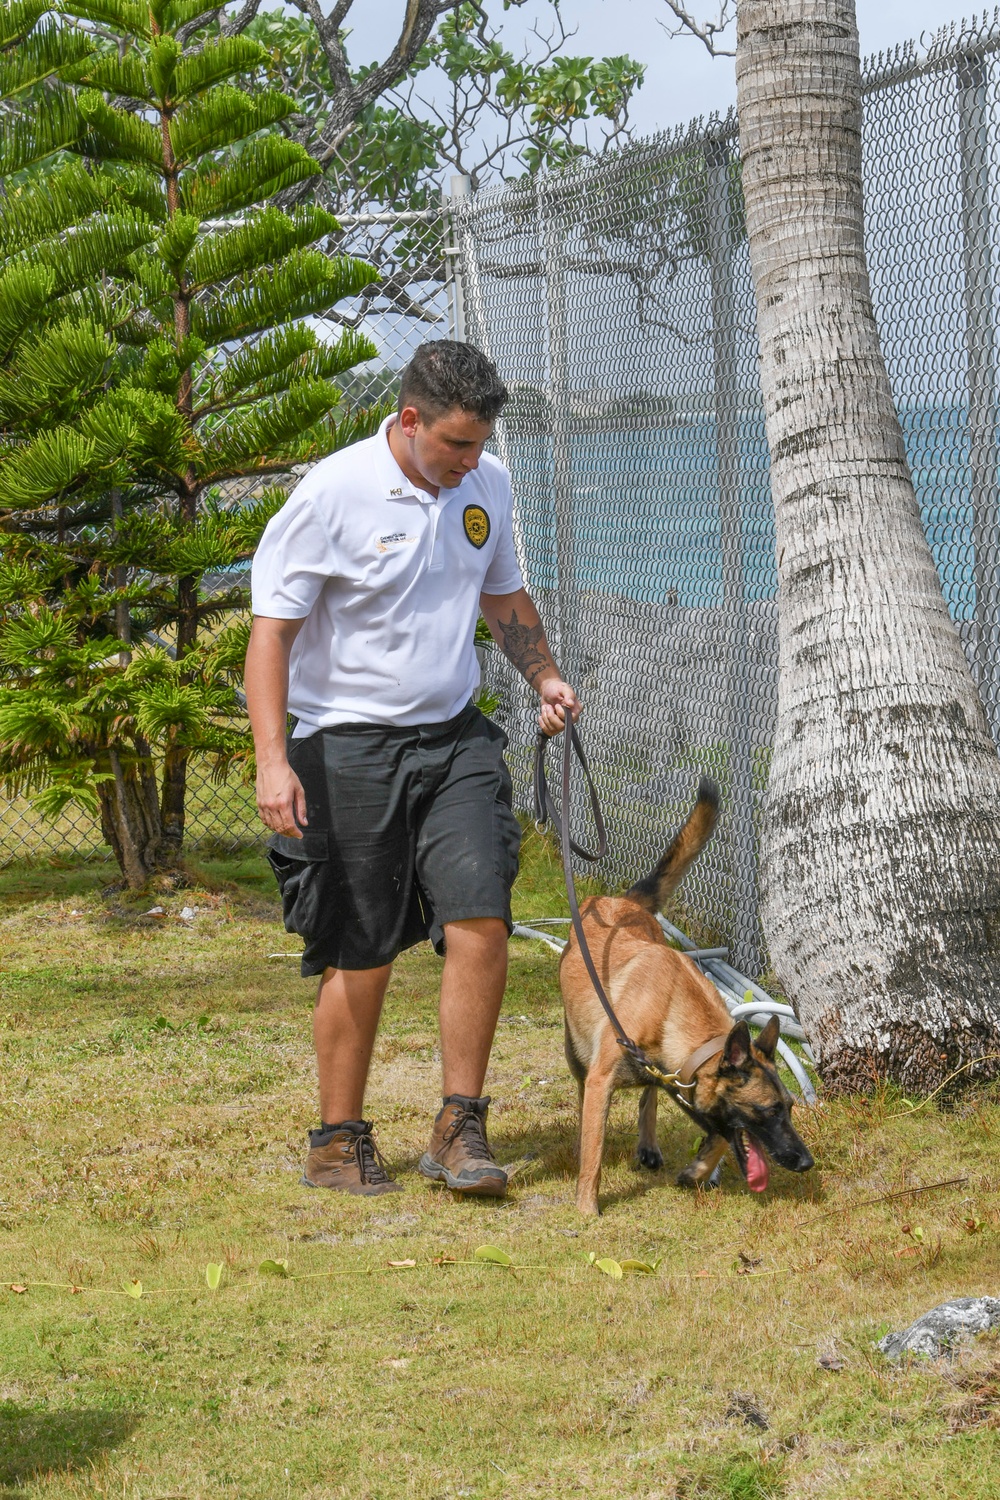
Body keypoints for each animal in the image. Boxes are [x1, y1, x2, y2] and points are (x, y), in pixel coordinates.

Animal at [560, 780, 815, 1212]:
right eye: (768, 1110)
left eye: (792, 1108)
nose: (806, 1162)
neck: (668, 1009)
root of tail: (621, 901)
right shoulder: (602, 1080)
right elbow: (594, 1153)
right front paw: (586, 1208)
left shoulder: (683, 1081)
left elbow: (720, 1136)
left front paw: (697, 1172)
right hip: (576, 1054)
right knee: (587, 1099)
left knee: (647, 1097)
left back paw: (648, 1145)